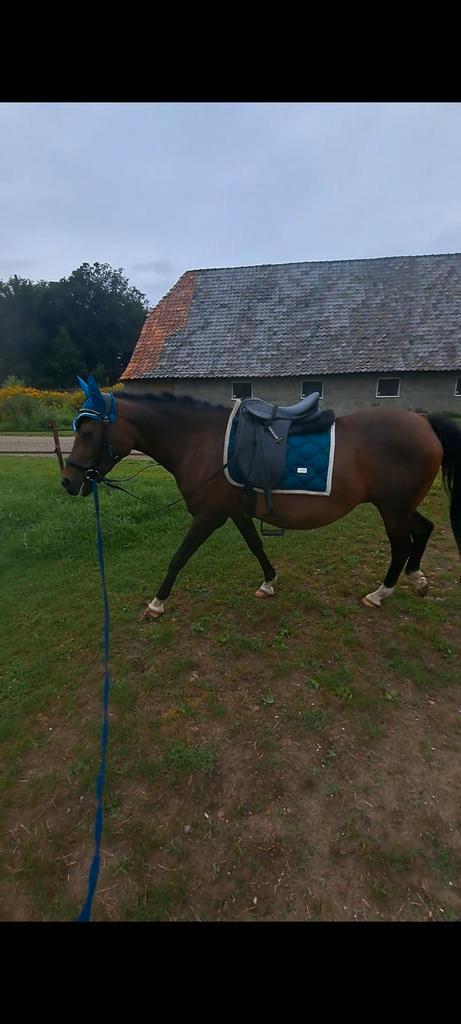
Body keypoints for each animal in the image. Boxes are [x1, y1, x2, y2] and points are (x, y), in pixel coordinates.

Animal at [61, 375, 461, 618]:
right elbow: (256, 545)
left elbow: (178, 557)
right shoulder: (236, 512)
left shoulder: (208, 516)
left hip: (392, 509)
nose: (68, 481)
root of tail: (424, 422)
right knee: (423, 530)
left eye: (88, 432)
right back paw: (417, 579)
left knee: (402, 545)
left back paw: (381, 592)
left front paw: (157, 602)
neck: (200, 442)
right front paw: (269, 582)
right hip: (400, 506)